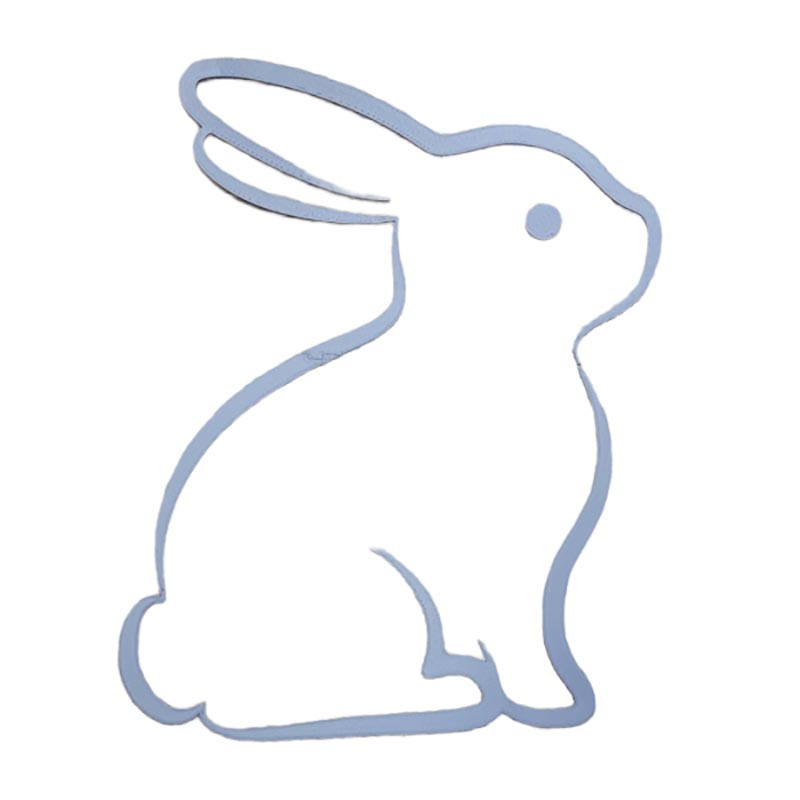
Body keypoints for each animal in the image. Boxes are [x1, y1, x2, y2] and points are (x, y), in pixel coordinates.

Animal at [119, 58, 661, 741]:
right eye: (544, 222)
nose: (642, 226)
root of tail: (188, 663)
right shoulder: (504, 568)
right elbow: (521, 640)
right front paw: (548, 702)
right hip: (377, 595)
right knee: (266, 706)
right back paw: (451, 695)